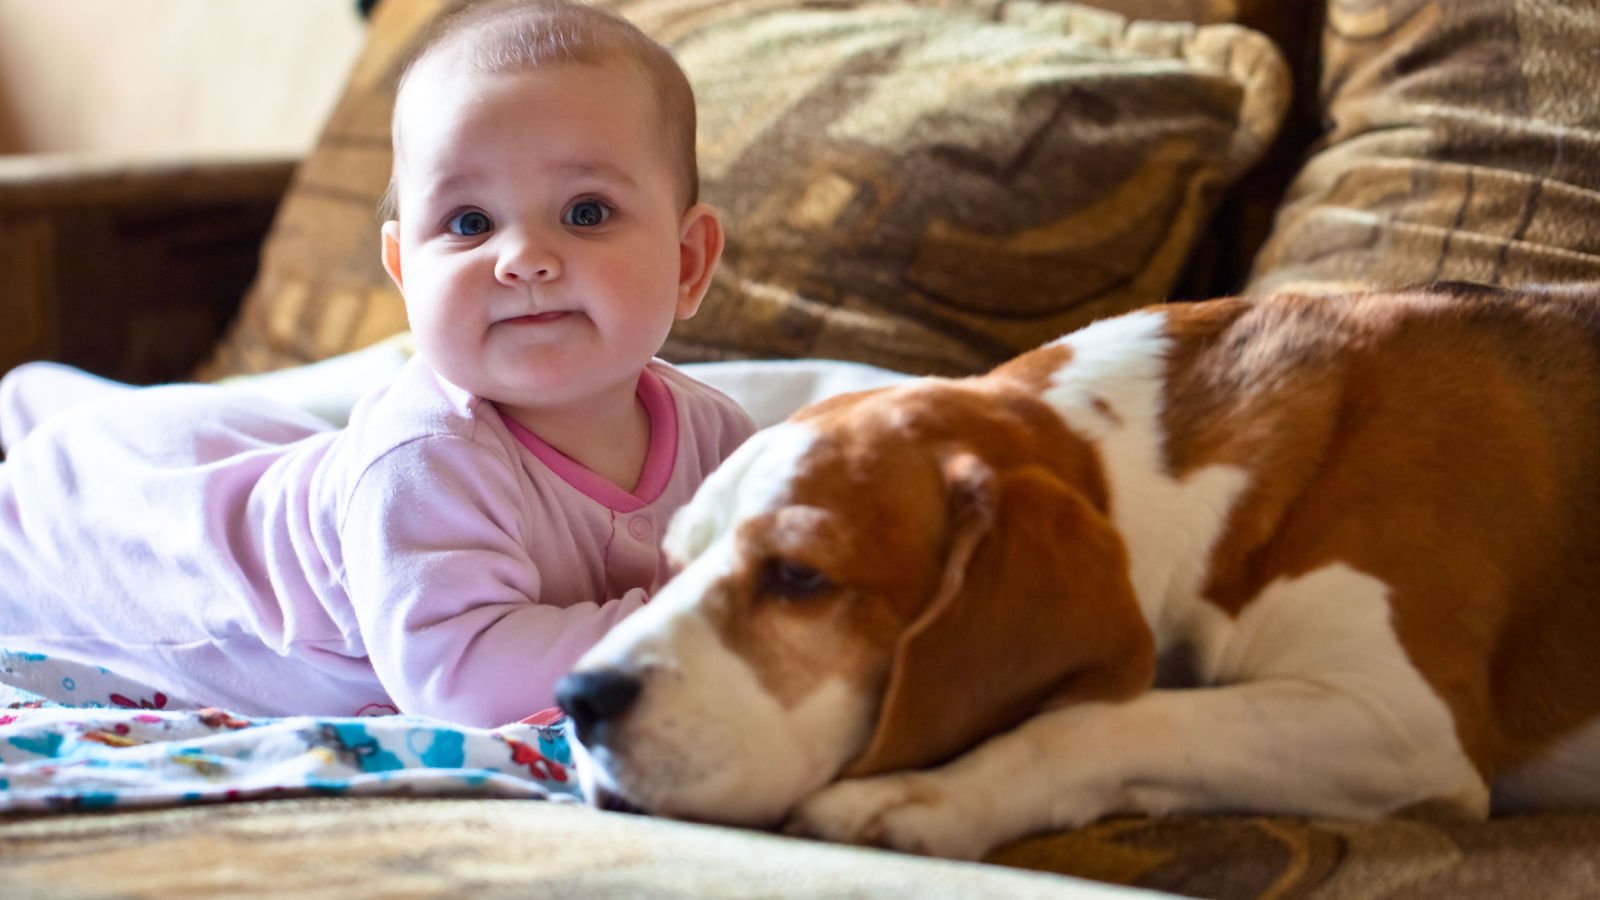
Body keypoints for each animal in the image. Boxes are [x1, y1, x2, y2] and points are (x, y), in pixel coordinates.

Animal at [556, 283, 1600, 858]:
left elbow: (1113, 719)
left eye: (801, 577)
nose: (578, 699)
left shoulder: (1403, 722)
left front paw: (932, 792)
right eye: (674, 564)